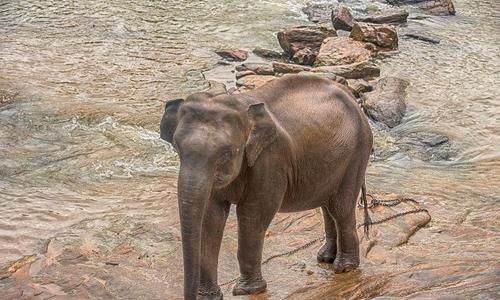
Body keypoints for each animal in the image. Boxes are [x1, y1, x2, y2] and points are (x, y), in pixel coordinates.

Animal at [159, 73, 372, 300]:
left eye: (226, 152)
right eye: (177, 147)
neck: (242, 108)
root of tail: (354, 100)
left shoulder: (270, 159)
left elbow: (253, 214)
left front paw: (247, 290)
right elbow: (211, 217)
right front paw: (208, 296)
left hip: (357, 152)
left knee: (341, 208)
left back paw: (344, 267)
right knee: (327, 206)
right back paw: (325, 258)